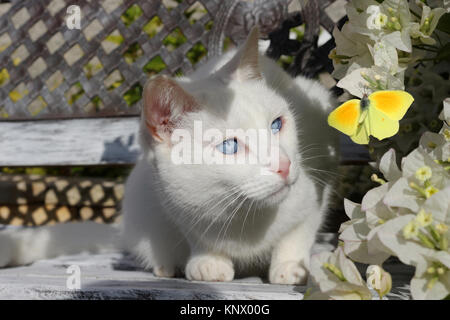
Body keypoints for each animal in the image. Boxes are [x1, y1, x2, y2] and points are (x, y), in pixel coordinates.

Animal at [0, 28, 338, 284]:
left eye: (277, 124)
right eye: (229, 146)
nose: (284, 165)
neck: (244, 215)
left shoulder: (319, 178)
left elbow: (297, 233)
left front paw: (291, 267)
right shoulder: (175, 200)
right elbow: (198, 237)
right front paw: (208, 261)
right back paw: (166, 266)